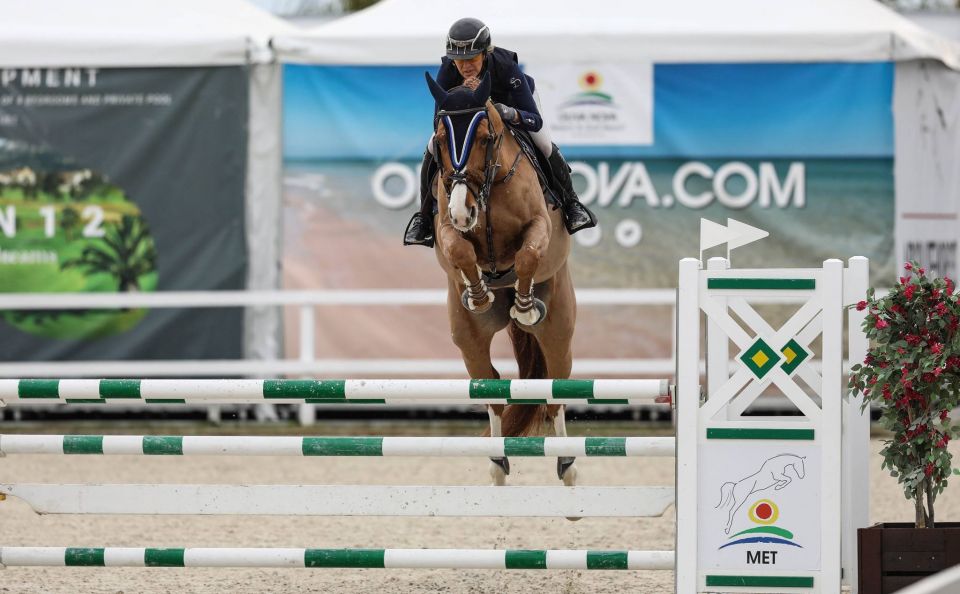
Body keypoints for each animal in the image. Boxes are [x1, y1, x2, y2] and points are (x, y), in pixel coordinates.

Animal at [426, 73, 576, 486]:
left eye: (483, 138)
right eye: (439, 141)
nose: (464, 211)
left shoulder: (539, 224)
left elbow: (527, 255)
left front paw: (525, 307)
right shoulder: (446, 227)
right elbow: (459, 250)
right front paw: (479, 294)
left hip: (558, 327)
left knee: (555, 387)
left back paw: (567, 465)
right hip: (468, 338)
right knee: (491, 387)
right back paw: (497, 464)